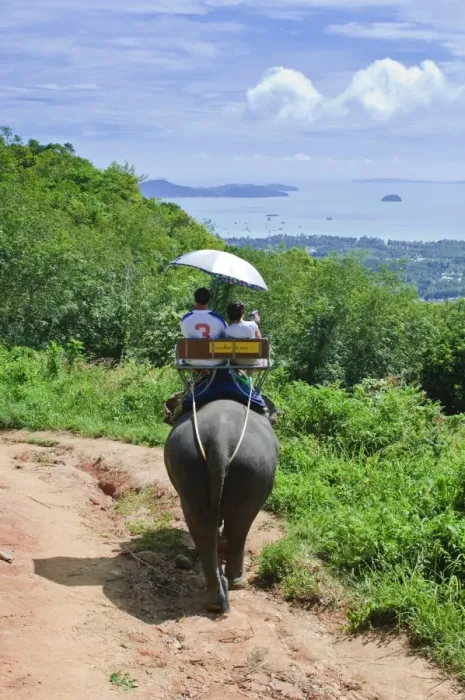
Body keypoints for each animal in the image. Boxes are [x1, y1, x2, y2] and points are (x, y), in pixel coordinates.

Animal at [164, 399, 279, 614]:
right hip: (253, 469)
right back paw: (236, 583)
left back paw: (216, 599)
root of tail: (220, 438)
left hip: (190, 466)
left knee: (202, 522)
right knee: (239, 524)